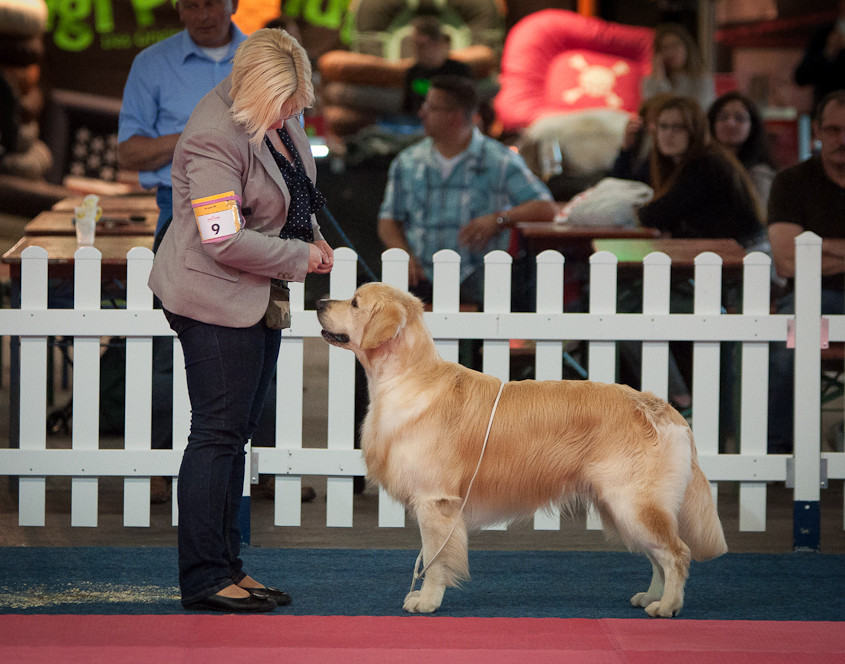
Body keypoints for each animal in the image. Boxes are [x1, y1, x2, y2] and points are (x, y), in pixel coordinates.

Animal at [316, 282, 724, 616]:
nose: (318, 301)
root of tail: (662, 408)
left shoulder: (436, 502)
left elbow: (434, 559)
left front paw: (427, 601)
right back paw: (651, 597)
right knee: (658, 556)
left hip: (633, 502)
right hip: (625, 506)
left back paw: (667, 606)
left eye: (354, 302)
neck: (408, 378)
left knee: (676, 553)